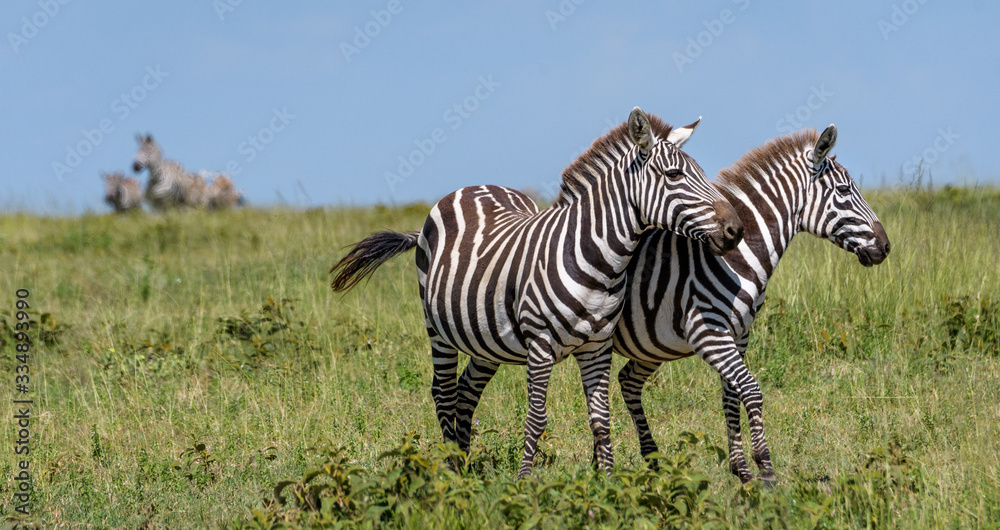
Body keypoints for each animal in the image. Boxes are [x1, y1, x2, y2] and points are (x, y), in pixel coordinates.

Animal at [330, 107, 743, 478]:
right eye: (674, 175)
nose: (736, 229)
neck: (598, 260)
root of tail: (469, 188)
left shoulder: (598, 346)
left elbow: (600, 418)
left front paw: (609, 488)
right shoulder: (541, 345)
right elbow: (537, 417)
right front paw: (524, 484)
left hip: (486, 338)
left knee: (466, 392)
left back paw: (464, 466)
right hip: (437, 329)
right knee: (444, 392)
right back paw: (450, 473)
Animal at [612, 125, 891, 485]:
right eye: (844, 190)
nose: (885, 246)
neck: (735, 256)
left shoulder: (739, 335)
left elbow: (732, 395)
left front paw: (741, 470)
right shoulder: (709, 333)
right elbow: (751, 390)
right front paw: (765, 468)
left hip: (651, 344)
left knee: (628, 381)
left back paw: (652, 461)